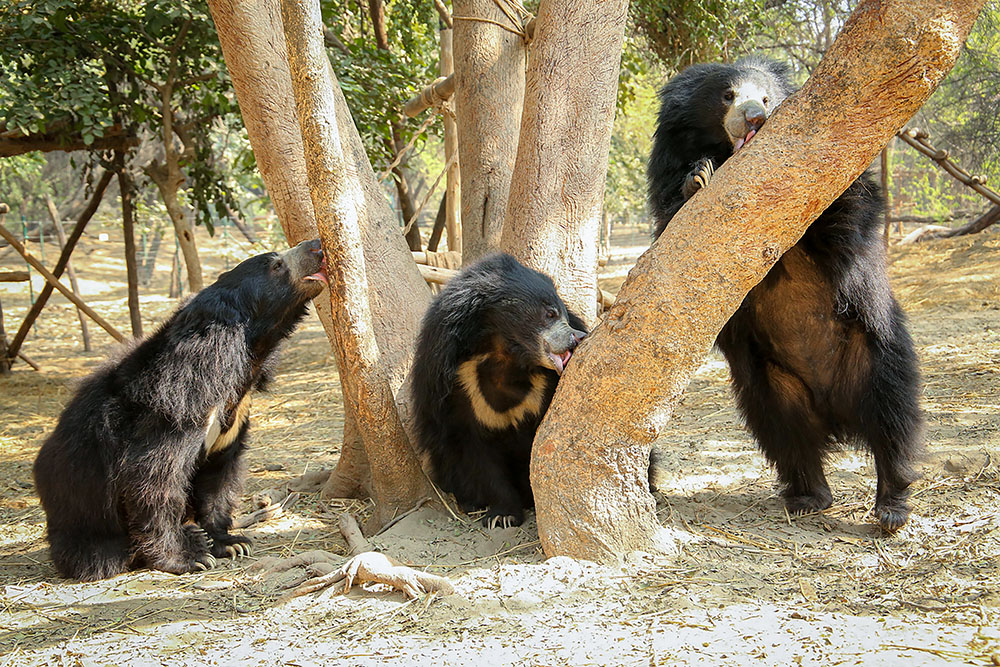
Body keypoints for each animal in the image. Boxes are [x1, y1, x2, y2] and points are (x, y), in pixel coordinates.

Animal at [33, 239, 328, 580]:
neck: (243, 360)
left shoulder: (236, 415)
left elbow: (219, 477)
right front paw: (187, 559)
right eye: (276, 265)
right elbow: (156, 480)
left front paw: (230, 543)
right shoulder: (175, 406)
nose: (317, 245)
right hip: (79, 498)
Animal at [411, 253, 587, 529]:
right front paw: (502, 516)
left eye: (566, 317)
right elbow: (475, 453)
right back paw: (470, 502)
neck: (506, 356)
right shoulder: (455, 386)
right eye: (549, 313)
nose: (577, 337)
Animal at [647, 56, 922, 531]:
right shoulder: (667, 166)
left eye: (767, 97)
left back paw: (892, 502)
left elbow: (846, 206)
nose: (756, 117)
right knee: (786, 435)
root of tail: (835, 409)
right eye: (728, 95)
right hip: (770, 383)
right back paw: (810, 495)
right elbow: (672, 224)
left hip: (875, 350)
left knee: (894, 416)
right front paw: (697, 177)